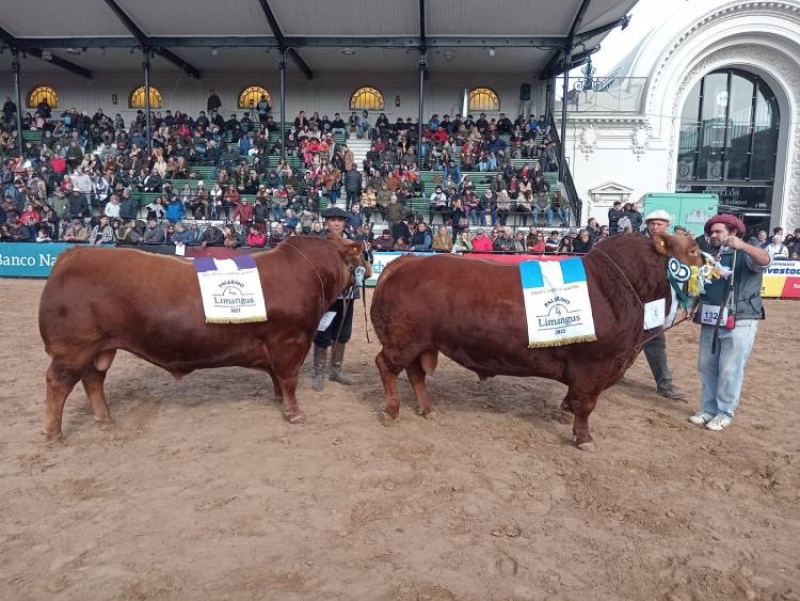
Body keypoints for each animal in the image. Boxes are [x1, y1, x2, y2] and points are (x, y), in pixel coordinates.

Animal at [39, 236, 370, 440]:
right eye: (356, 253)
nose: (366, 268)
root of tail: (74, 254)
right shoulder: (290, 341)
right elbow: (288, 379)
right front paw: (294, 413)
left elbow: (277, 379)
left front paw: (278, 400)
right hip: (74, 349)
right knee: (58, 383)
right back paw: (53, 433)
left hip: (98, 348)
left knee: (93, 380)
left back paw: (105, 421)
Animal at [372, 232, 704, 448]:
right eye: (694, 251)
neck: (621, 286)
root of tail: (405, 262)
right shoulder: (596, 366)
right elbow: (587, 406)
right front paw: (584, 438)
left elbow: (575, 399)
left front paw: (566, 411)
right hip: (403, 340)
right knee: (386, 366)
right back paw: (391, 410)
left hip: (420, 342)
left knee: (415, 373)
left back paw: (428, 409)